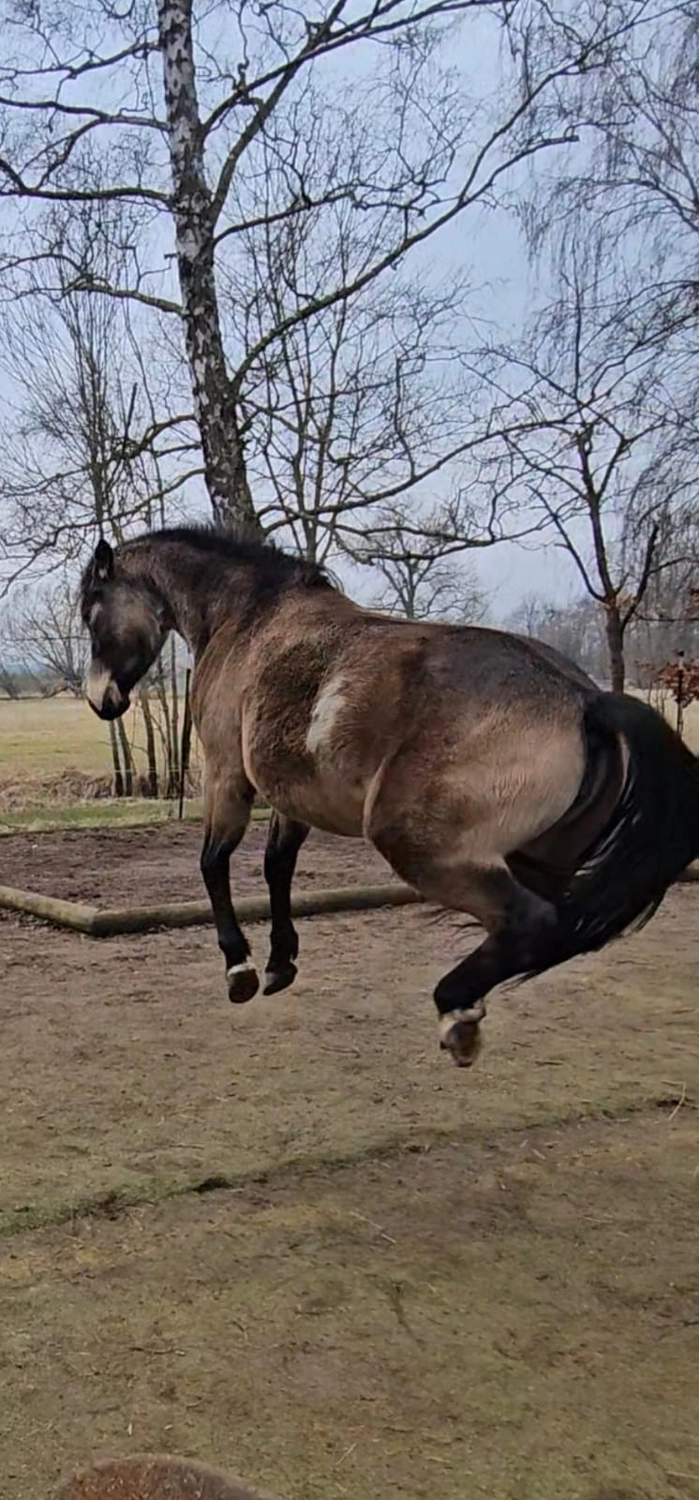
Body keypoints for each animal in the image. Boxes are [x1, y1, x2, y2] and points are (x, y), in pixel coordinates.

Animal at [80, 525, 699, 1067]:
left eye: (91, 612)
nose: (100, 700)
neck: (247, 617)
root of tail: (585, 701)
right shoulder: (291, 797)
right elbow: (277, 867)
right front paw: (281, 962)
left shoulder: (229, 775)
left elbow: (213, 863)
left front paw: (242, 968)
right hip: (537, 858)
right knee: (549, 928)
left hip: (411, 840)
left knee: (531, 922)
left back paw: (455, 1010)